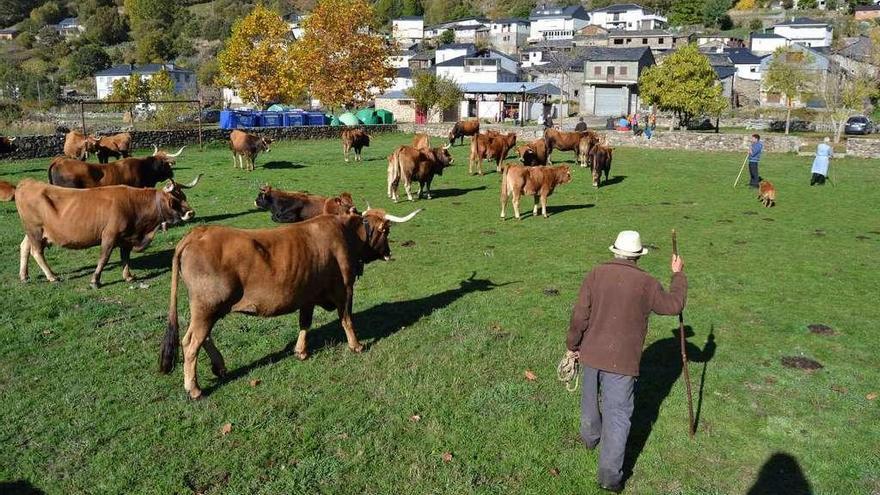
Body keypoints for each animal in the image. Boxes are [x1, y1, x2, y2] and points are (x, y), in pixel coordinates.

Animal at [1, 179, 198, 288]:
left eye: (184, 196)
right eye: (174, 200)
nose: (191, 213)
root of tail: (25, 183)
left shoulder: (126, 238)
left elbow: (125, 257)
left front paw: (128, 276)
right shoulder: (109, 235)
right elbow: (104, 258)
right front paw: (95, 280)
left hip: (32, 231)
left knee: (24, 247)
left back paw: (24, 276)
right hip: (34, 229)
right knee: (36, 252)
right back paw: (52, 276)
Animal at [160, 207, 424, 402]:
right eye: (386, 230)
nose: (389, 252)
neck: (346, 234)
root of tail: (197, 232)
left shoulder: (307, 294)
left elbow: (305, 322)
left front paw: (301, 351)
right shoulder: (345, 290)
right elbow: (346, 319)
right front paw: (356, 345)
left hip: (209, 308)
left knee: (202, 337)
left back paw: (219, 366)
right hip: (207, 306)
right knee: (191, 342)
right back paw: (194, 389)